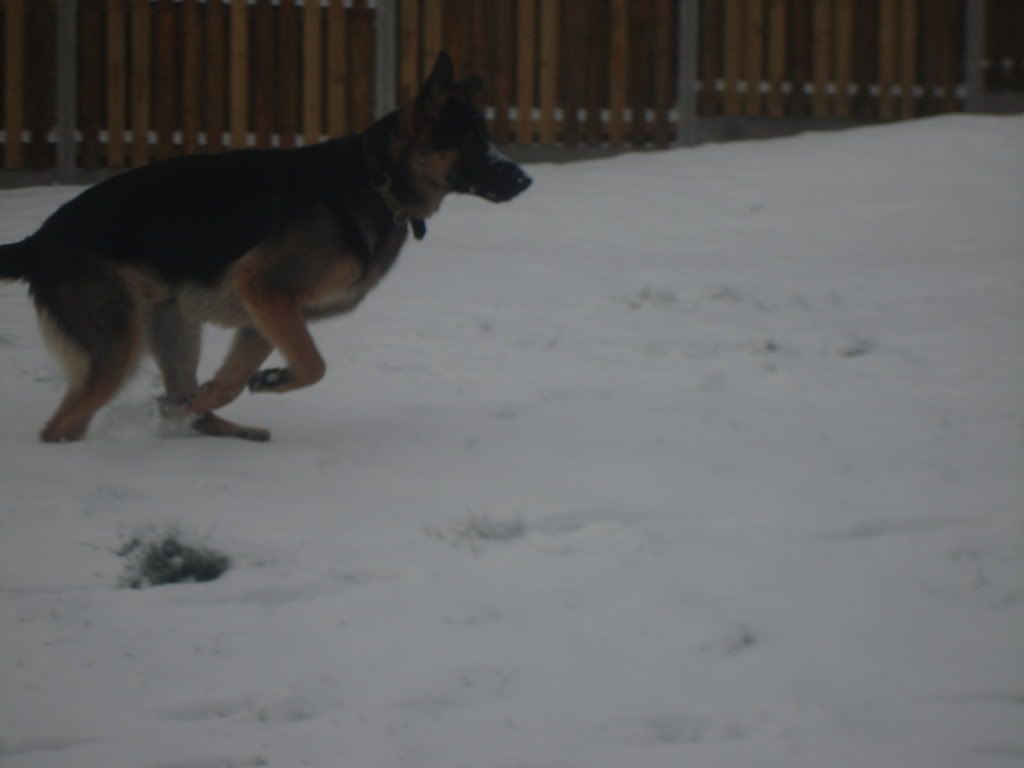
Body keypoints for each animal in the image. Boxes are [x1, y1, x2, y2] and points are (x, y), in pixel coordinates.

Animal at [2, 55, 536, 444]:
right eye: (470, 141)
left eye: (486, 137)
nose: (525, 180)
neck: (377, 180)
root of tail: (40, 239)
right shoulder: (267, 290)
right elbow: (314, 365)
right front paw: (271, 381)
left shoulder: (265, 316)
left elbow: (234, 380)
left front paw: (231, 391)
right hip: (117, 346)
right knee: (60, 425)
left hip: (172, 323)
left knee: (181, 390)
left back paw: (207, 421)